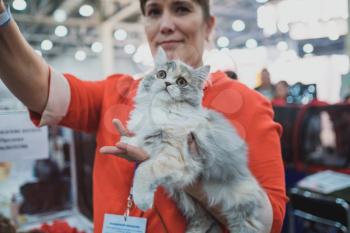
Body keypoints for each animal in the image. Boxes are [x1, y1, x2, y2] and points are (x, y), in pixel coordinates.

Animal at [120, 48, 266, 232]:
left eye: (181, 82)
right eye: (161, 74)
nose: (167, 83)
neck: (163, 109)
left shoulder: (176, 156)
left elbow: (143, 170)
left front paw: (142, 200)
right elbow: (140, 139)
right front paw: (128, 140)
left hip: (241, 203)